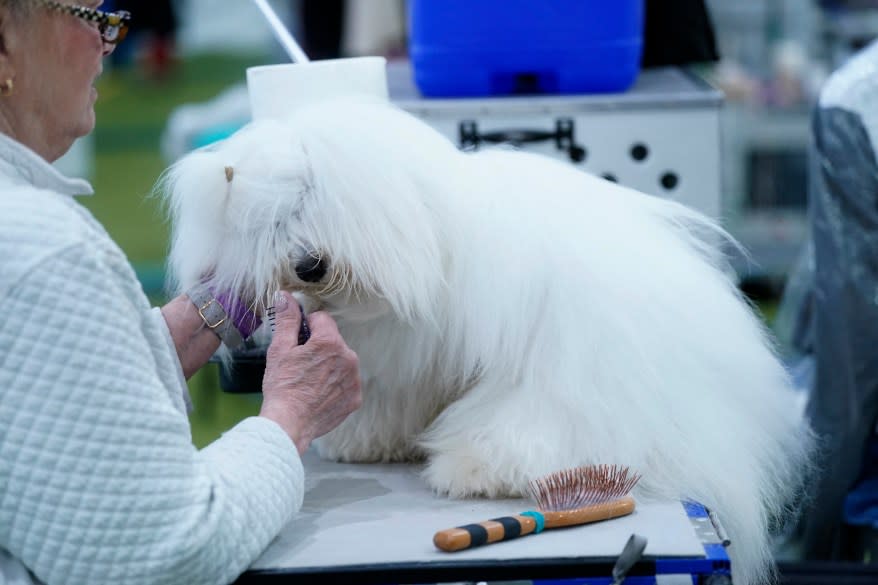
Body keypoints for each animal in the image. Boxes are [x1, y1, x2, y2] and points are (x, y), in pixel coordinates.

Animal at [163, 97, 812, 584]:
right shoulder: (401, 355)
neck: (437, 239)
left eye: (322, 205)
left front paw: (470, 466)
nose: (308, 265)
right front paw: (366, 441)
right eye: (272, 222)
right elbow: (392, 396)